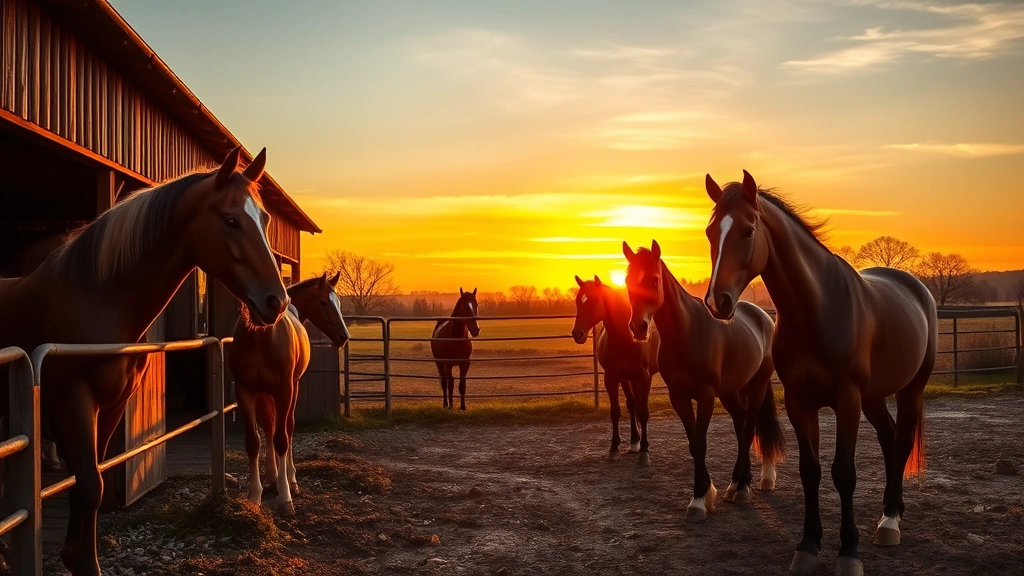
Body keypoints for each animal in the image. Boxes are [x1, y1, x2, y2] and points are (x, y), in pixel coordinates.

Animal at [0, 146, 289, 576]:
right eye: (231, 220)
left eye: (265, 219)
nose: (277, 301)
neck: (98, 298)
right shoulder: (75, 401)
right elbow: (90, 483)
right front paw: (84, 564)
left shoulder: (112, 405)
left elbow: (91, 480)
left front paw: (75, 556)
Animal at [229, 272, 350, 515]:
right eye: (323, 302)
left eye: (339, 302)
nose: (344, 336)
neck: (261, 337)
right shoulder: (245, 390)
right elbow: (254, 440)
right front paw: (255, 495)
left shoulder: (286, 389)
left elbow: (283, 438)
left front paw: (285, 496)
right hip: (266, 393)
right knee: (270, 427)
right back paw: (272, 477)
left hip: (290, 389)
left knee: (287, 428)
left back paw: (289, 479)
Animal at [571, 274, 660, 465]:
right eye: (577, 300)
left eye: (593, 300)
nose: (577, 334)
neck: (624, 338)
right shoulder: (612, 378)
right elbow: (616, 411)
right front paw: (614, 448)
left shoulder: (644, 377)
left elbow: (644, 412)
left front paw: (644, 452)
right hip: (628, 378)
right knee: (632, 404)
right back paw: (634, 442)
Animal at [623, 240, 785, 521]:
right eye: (627, 280)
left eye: (654, 280)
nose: (638, 327)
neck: (686, 332)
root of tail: (763, 316)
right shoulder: (678, 397)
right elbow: (692, 444)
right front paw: (708, 492)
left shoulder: (706, 395)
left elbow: (700, 444)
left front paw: (699, 500)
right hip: (732, 390)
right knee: (741, 422)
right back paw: (736, 483)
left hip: (756, 386)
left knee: (749, 425)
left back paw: (744, 487)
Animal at [703, 171, 937, 576]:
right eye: (710, 231)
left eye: (748, 230)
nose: (718, 302)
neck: (818, 308)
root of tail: (917, 288)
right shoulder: (800, 402)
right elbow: (809, 470)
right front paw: (808, 545)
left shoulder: (847, 400)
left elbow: (843, 473)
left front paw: (849, 552)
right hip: (874, 397)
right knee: (889, 438)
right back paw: (890, 508)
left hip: (910, 390)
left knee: (903, 440)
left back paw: (890, 520)